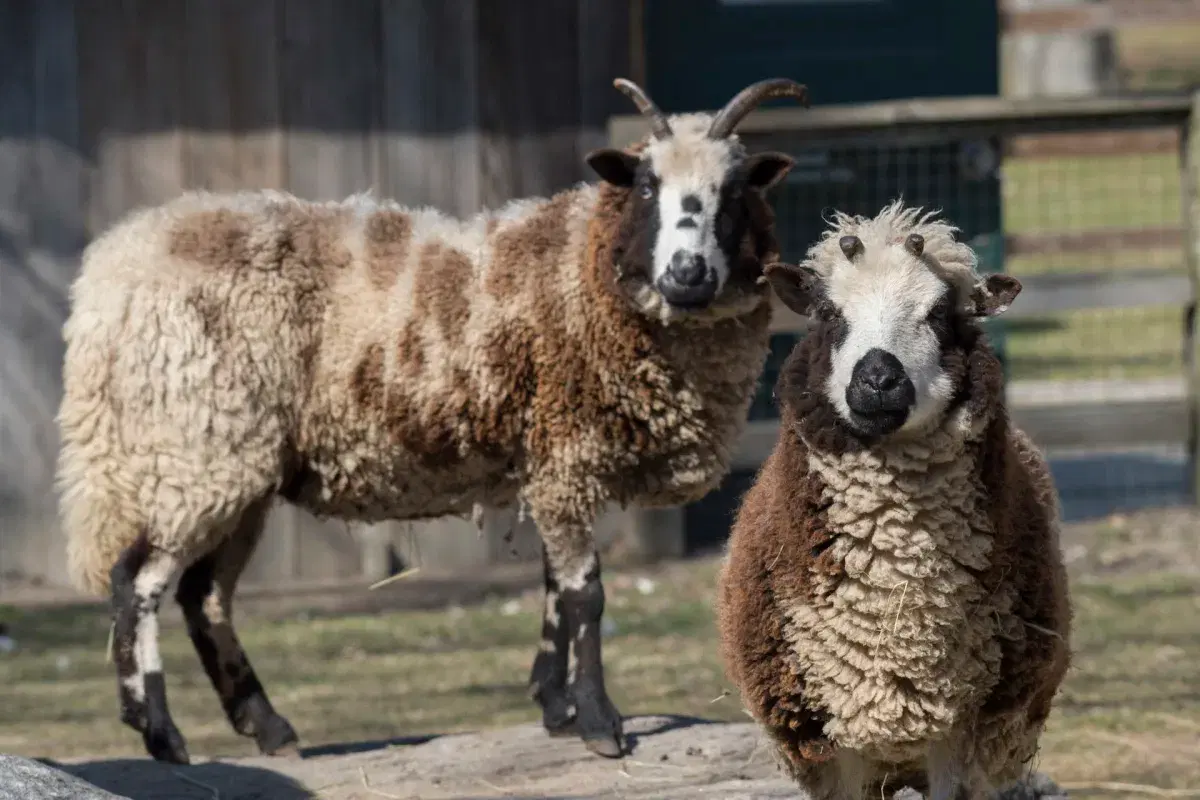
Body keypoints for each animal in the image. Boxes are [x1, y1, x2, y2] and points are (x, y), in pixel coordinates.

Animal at [54, 77, 806, 767]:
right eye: (648, 187)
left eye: (734, 192)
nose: (687, 274)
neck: (582, 266)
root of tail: (108, 275)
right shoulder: (567, 452)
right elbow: (585, 594)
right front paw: (599, 723)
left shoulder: (544, 454)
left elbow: (551, 590)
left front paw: (555, 706)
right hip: (194, 443)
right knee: (137, 583)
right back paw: (162, 735)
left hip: (236, 463)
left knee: (204, 596)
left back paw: (268, 728)